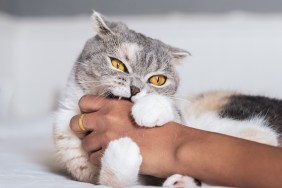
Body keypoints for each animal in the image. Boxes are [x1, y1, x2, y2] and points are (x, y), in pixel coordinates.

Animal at [53, 12, 282, 188]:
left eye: (157, 79)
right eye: (117, 64)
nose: (135, 89)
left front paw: (148, 111)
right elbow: (115, 182)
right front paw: (123, 150)